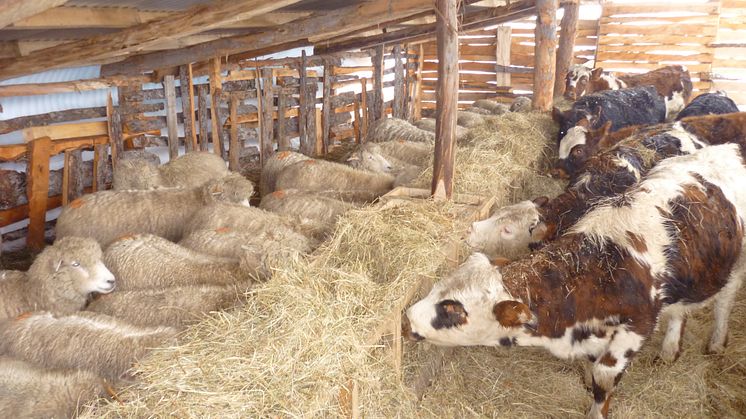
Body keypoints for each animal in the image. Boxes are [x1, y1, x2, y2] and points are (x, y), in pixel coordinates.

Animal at [406, 144, 744, 416]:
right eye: (437, 287)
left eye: (452, 310)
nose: (408, 317)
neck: (599, 270)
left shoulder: (636, 327)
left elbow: (603, 379)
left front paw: (597, 411)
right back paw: (670, 349)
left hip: (737, 265)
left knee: (724, 302)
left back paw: (716, 342)